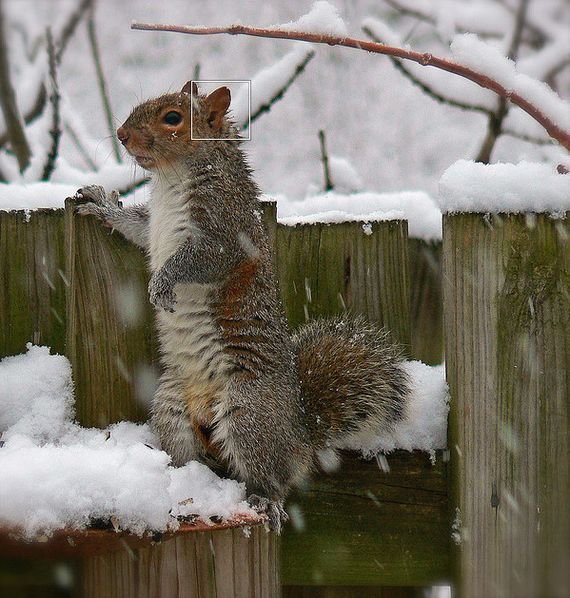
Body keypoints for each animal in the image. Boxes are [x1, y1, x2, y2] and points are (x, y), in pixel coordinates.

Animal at [75, 81, 410, 536]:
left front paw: (162, 283)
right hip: (171, 405)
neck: (172, 178)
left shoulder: (225, 229)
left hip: (248, 409)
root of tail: (300, 436)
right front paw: (102, 205)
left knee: (271, 476)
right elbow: (138, 229)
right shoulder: (154, 224)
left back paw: (265, 499)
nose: (122, 134)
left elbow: (201, 260)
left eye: (173, 118)